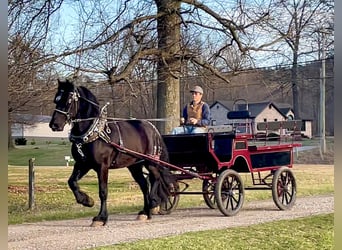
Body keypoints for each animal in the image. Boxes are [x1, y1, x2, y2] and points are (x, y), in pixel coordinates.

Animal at [49, 79, 172, 227]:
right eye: (56, 100)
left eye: (68, 101)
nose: (54, 125)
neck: (94, 132)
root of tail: (152, 128)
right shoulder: (82, 164)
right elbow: (72, 182)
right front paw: (87, 201)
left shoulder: (102, 166)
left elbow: (103, 191)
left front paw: (101, 217)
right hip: (134, 165)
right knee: (144, 184)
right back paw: (145, 212)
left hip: (150, 161)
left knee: (156, 178)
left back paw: (153, 202)